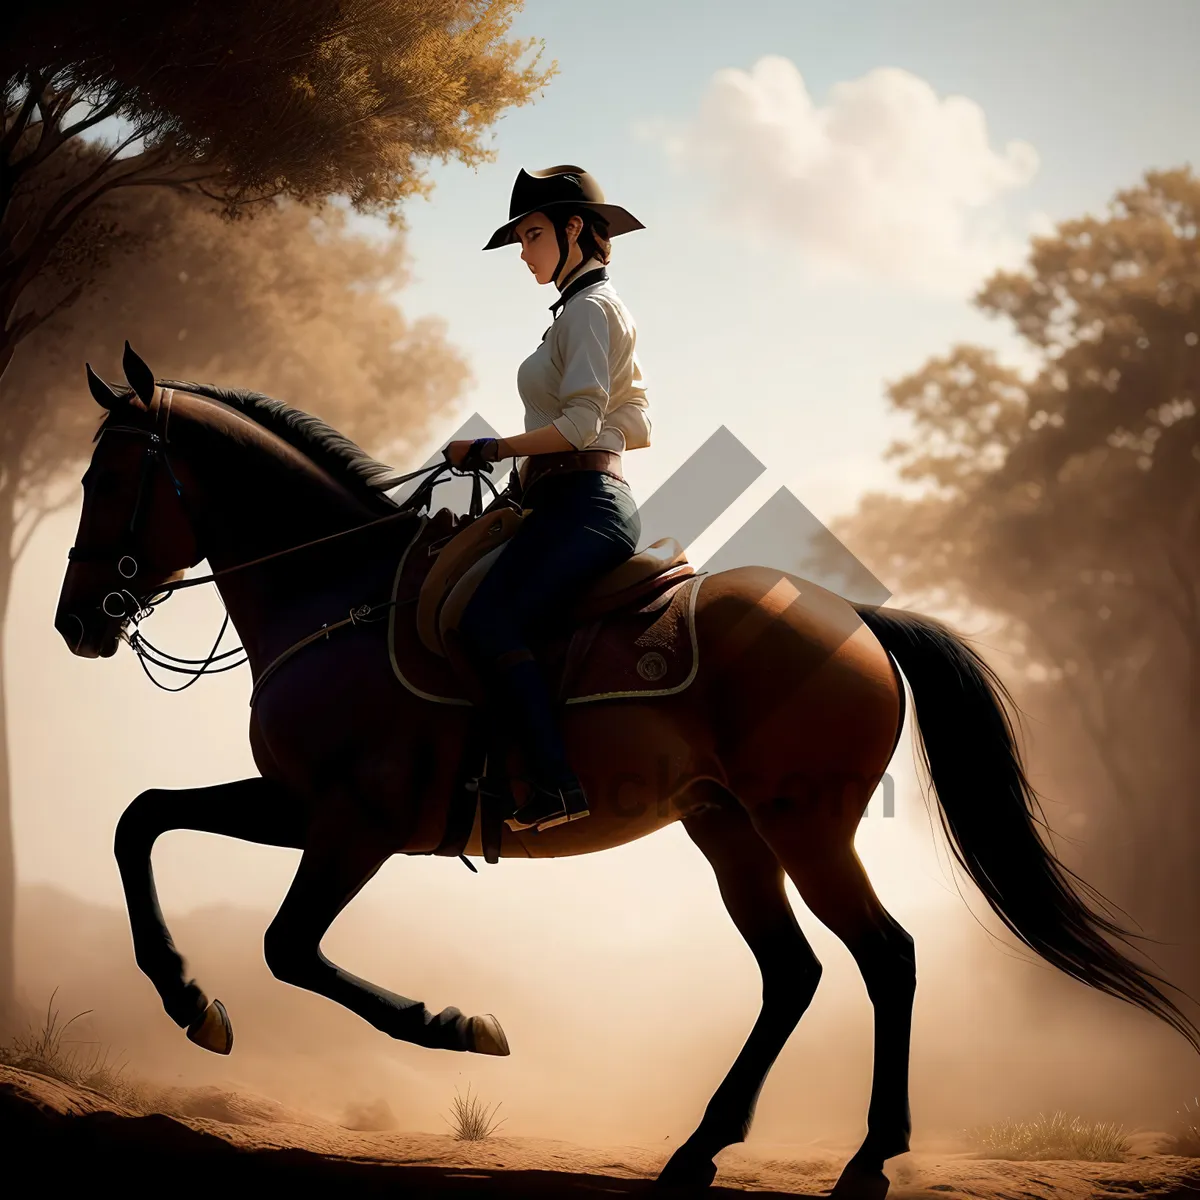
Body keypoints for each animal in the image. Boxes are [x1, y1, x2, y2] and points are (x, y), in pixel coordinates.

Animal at [54, 343, 1200, 1195]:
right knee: (794, 973)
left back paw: (869, 1158)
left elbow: (289, 946)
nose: (76, 624)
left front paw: (457, 1025)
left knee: (887, 956)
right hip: (728, 831)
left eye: (108, 478)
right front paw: (188, 1000)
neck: (341, 596)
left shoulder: (357, 823)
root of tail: (854, 621)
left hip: (803, 828)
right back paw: (699, 1150)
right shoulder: (300, 804)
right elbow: (139, 818)